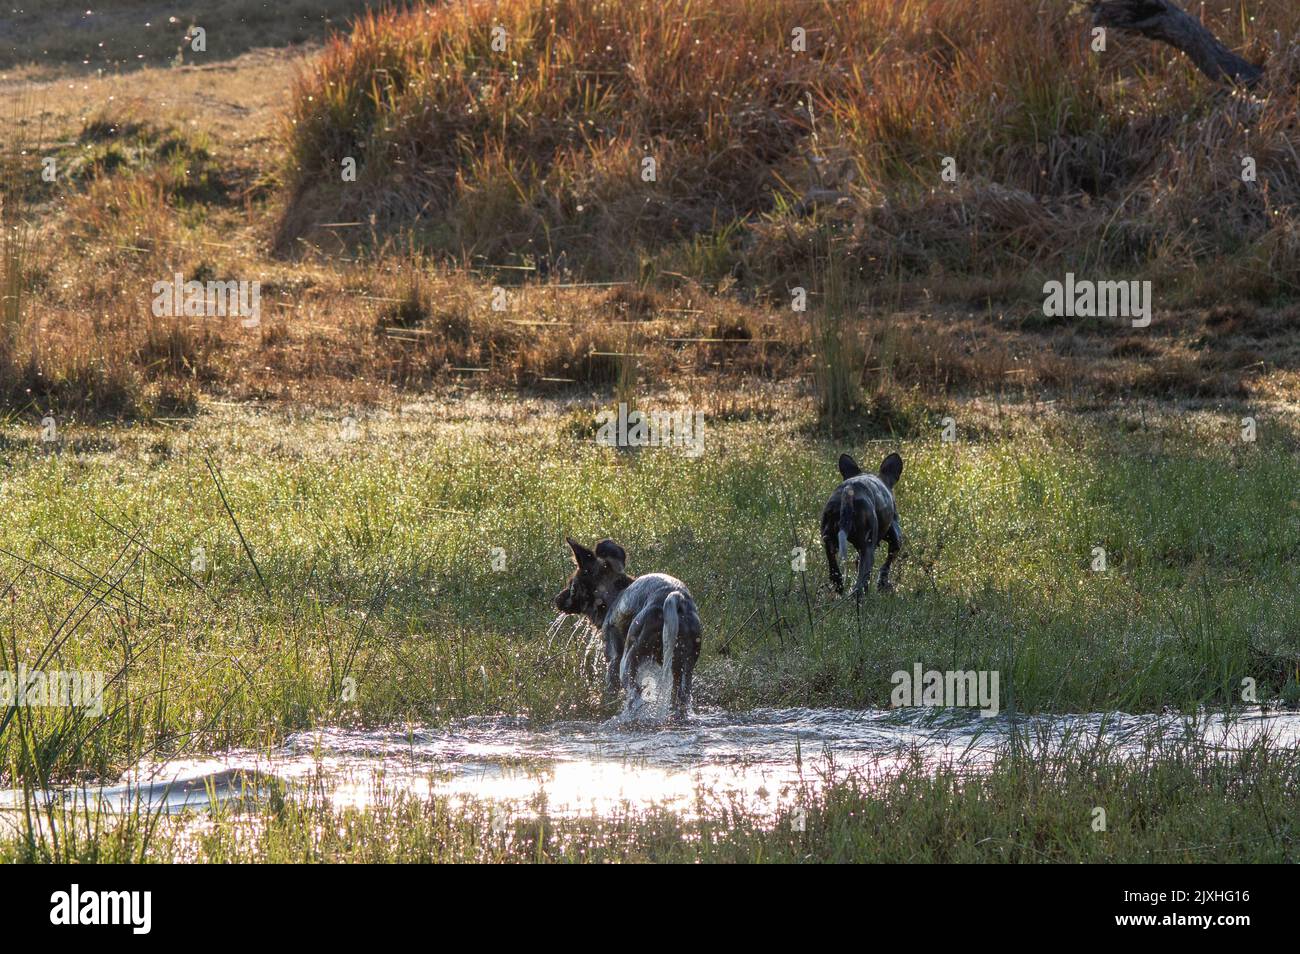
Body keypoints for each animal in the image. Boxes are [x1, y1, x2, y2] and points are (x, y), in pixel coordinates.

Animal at [553, 540, 707, 722]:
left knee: (635, 699)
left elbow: (609, 695)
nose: (556, 599)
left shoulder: (613, 660)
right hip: (684, 671)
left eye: (572, 585)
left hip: (627, 664)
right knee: (680, 700)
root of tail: (676, 597)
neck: (612, 596)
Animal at [821, 454, 904, 597]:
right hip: (868, 550)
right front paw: (882, 585)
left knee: (835, 573)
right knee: (860, 585)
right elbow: (885, 566)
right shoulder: (895, 539)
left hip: (830, 541)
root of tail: (849, 492)